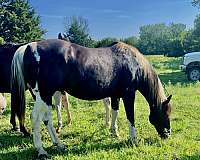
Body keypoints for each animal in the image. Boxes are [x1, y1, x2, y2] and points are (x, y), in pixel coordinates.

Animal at [11, 39, 172, 158]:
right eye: (166, 113)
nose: (167, 134)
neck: (132, 62)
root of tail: (29, 47)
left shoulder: (115, 95)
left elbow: (114, 111)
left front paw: (114, 131)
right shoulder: (128, 95)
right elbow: (130, 116)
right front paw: (133, 139)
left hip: (46, 96)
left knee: (47, 119)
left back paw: (59, 144)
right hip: (44, 94)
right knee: (35, 118)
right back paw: (41, 150)